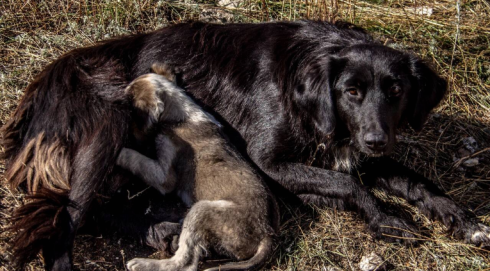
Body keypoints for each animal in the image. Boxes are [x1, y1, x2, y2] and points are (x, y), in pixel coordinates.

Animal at [115, 66, 282, 271]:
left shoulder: (164, 176)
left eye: (131, 111)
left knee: (185, 262)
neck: (181, 114)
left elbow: (137, 159)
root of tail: (266, 233)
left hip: (201, 210)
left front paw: (119, 151)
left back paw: (144, 264)